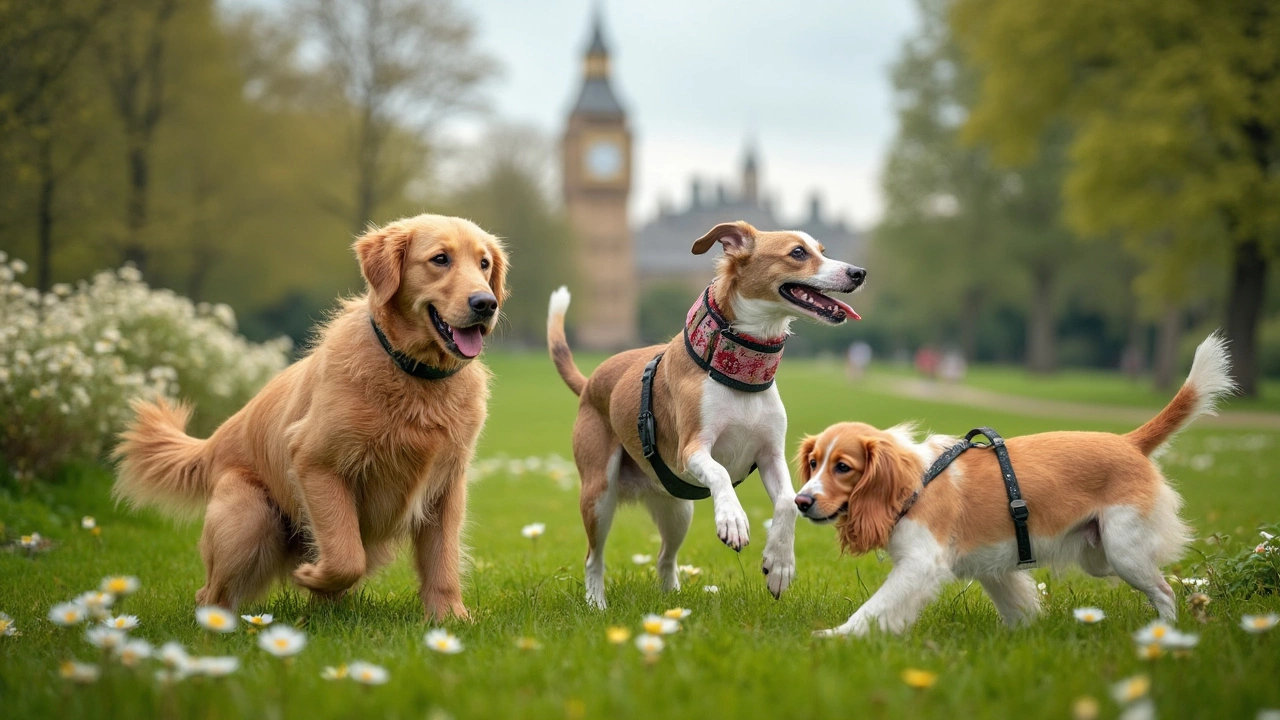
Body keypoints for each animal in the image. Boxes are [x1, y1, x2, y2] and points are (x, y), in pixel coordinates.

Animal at [545, 219, 865, 604]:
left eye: (822, 250)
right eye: (798, 253)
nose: (859, 272)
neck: (738, 374)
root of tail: (590, 381)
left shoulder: (770, 454)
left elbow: (788, 501)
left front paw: (780, 565)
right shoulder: (691, 450)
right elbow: (721, 473)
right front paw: (733, 519)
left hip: (677, 509)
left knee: (664, 557)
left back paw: (672, 597)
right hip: (598, 494)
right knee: (594, 558)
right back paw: (597, 604)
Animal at [798, 333, 1228, 632]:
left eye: (843, 467)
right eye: (814, 463)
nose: (800, 501)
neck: (914, 483)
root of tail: (1128, 441)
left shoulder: (921, 564)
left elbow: (874, 610)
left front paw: (834, 637)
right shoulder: (995, 570)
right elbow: (1019, 607)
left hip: (1125, 552)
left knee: (1166, 591)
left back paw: (1165, 637)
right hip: (1101, 557)